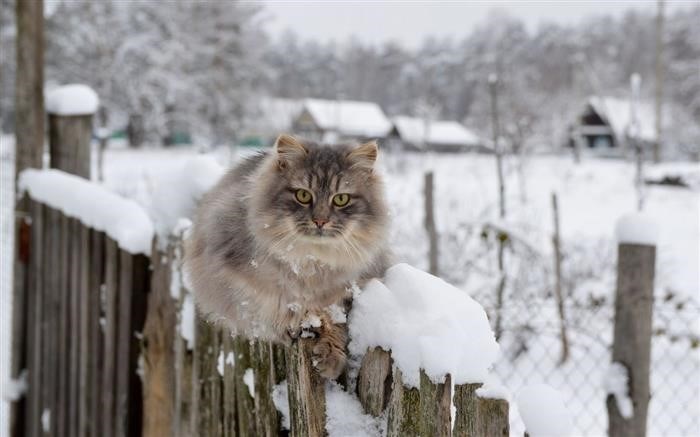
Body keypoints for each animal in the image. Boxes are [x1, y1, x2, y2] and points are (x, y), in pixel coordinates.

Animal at [183, 135, 392, 376]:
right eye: (303, 195)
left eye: (341, 199)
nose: (320, 221)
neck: (311, 260)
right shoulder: (231, 275)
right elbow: (267, 305)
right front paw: (290, 324)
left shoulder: (351, 288)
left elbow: (337, 323)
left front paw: (330, 354)